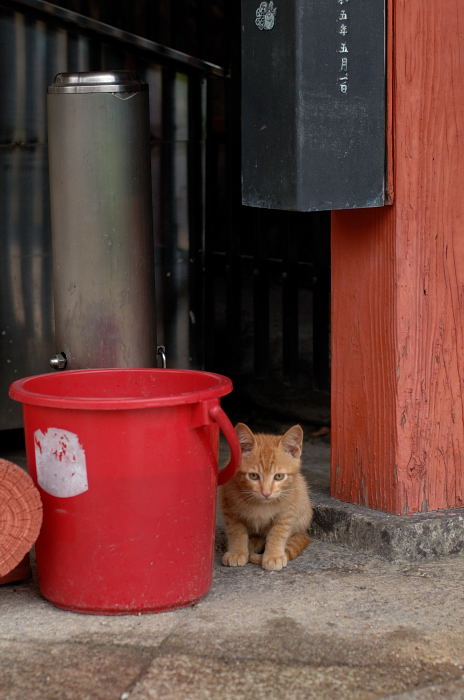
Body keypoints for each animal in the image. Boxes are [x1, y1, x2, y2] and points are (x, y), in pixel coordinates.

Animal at [220, 424, 314, 572]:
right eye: (253, 476)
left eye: (279, 476)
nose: (266, 493)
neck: (261, 504)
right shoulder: (228, 505)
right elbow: (236, 531)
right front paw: (237, 552)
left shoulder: (288, 509)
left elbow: (278, 532)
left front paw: (273, 556)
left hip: (302, 498)